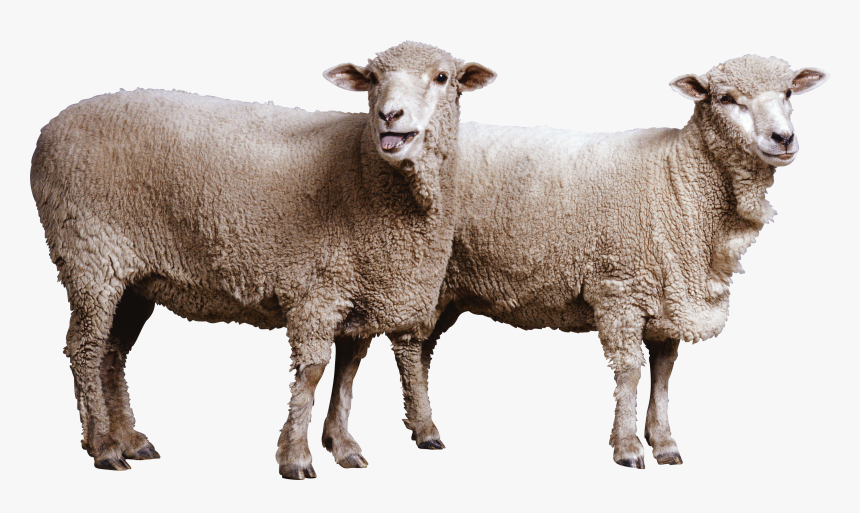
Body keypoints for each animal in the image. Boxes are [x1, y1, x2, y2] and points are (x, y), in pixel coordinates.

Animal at [30, 41, 495, 480]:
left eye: (442, 77)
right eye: (373, 78)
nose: (389, 115)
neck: (364, 171)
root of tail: (49, 130)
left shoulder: (360, 292)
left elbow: (347, 373)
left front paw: (342, 445)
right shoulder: (317, 290)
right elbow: (313, 371)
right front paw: (296, 457)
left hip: (134, 277)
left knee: (112, 351)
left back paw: (128, 440)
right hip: (90, 256)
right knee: (85, 348)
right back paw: (103, 446)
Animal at [322, 55, 828, 468]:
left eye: (787, 92)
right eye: (726, 98)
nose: (783, 138)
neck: (679, 177)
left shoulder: (669, 294)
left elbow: (664, 372)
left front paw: (664, 442)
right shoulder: (620, 288)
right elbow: (630, 371)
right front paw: (628, 447)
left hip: (446, 284)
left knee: (418, 349)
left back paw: (408, 424)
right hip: (419, 272)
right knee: (408, 347)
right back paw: (426, 430)